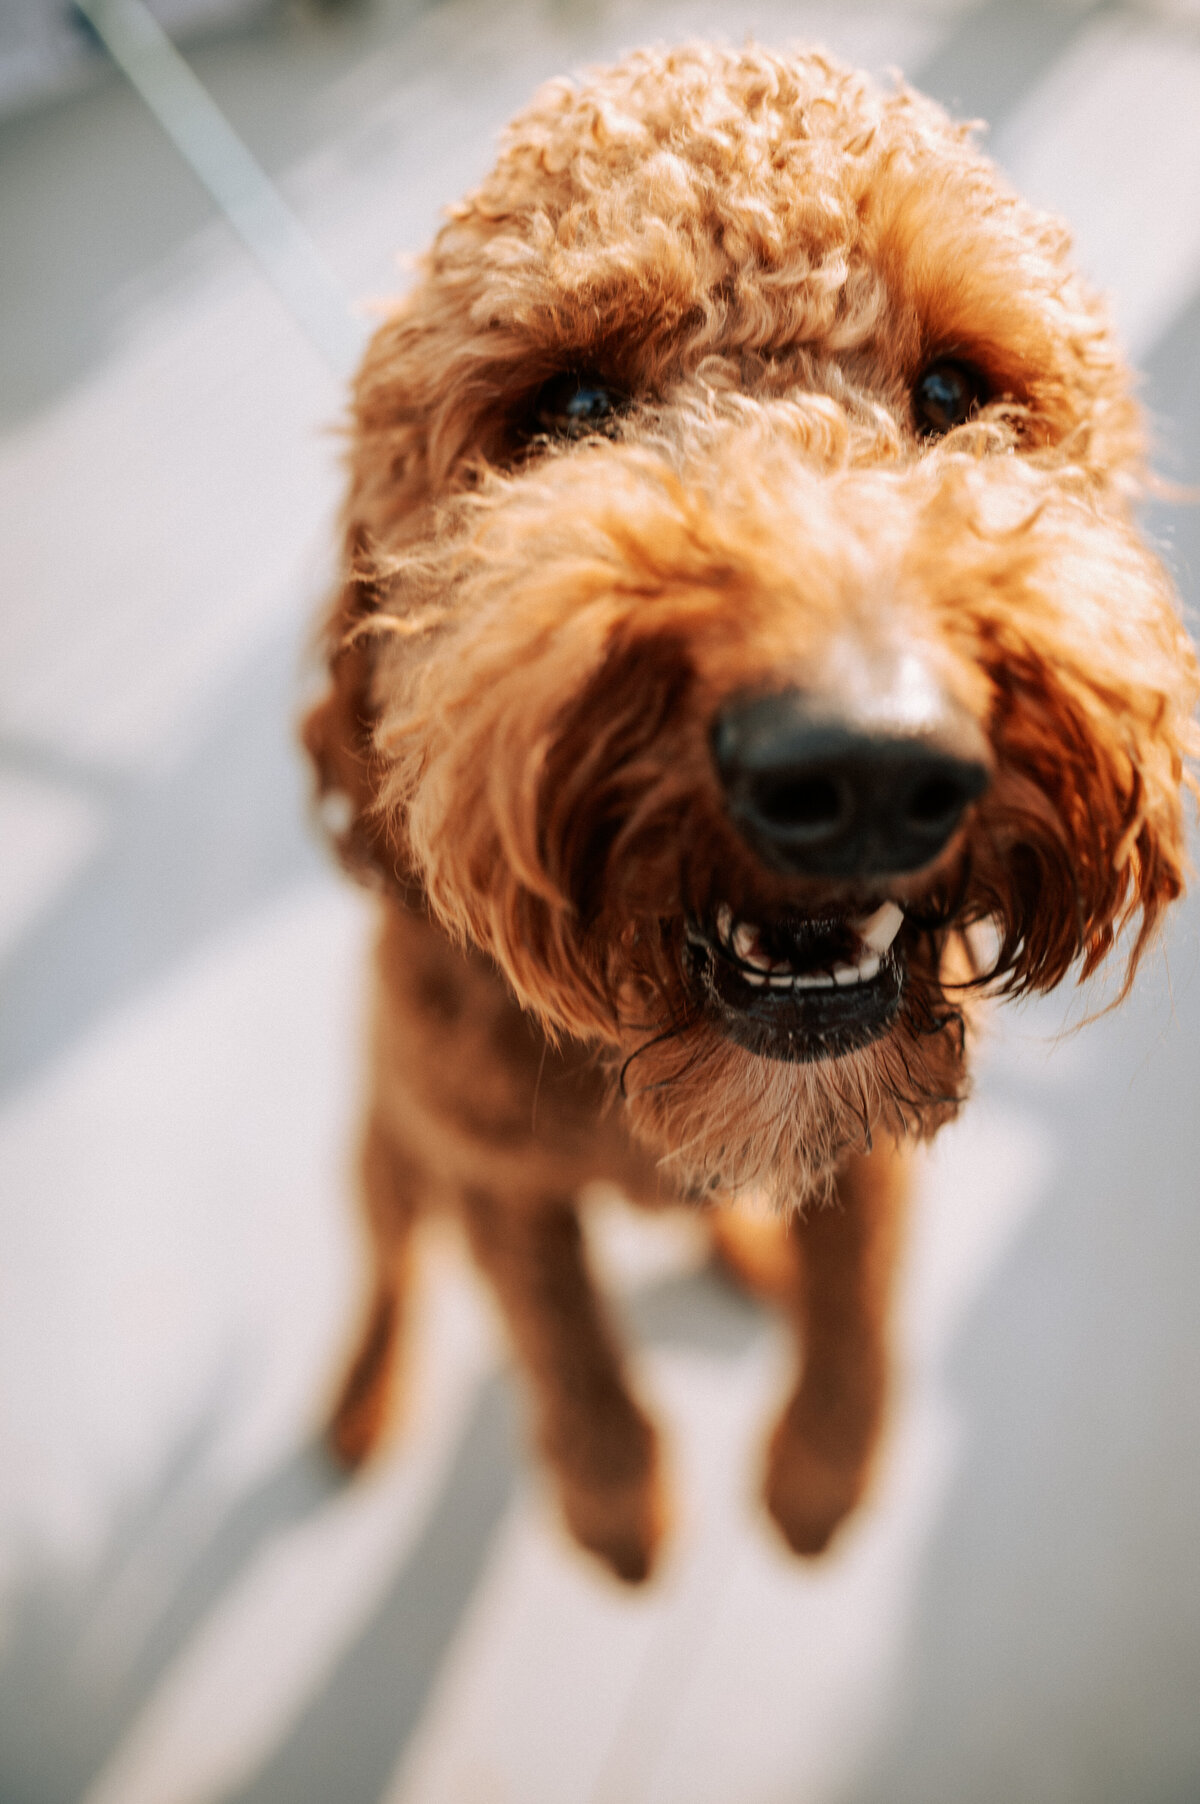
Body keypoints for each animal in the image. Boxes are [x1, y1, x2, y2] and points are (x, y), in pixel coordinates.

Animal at [301, 42, 1198, 1580]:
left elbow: (859, 1298)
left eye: (953, 387)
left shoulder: (876, 1126)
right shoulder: (488, 1163)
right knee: (386, 1267)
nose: (865, 769)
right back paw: (362, 1396)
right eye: (571, 411)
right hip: (389, 1146)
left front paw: (819, 1478)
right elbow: (560, 1332)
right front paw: (616, 1503)